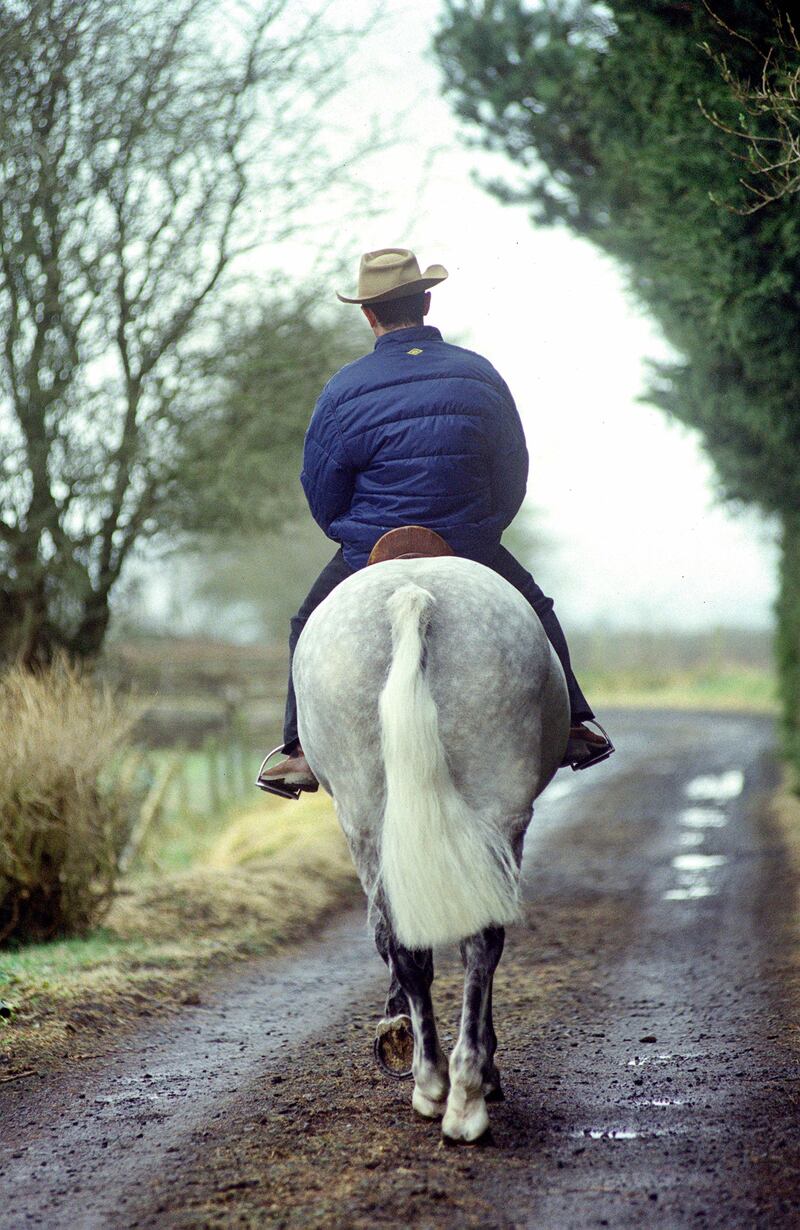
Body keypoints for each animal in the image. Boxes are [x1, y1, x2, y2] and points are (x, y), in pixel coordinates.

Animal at [292, 553, 570, 1142]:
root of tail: (411, 595)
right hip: (490, 812)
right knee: (474, 941)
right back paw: (462, 1091)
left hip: (369, 820)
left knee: (423, 945)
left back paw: (445, 1085)